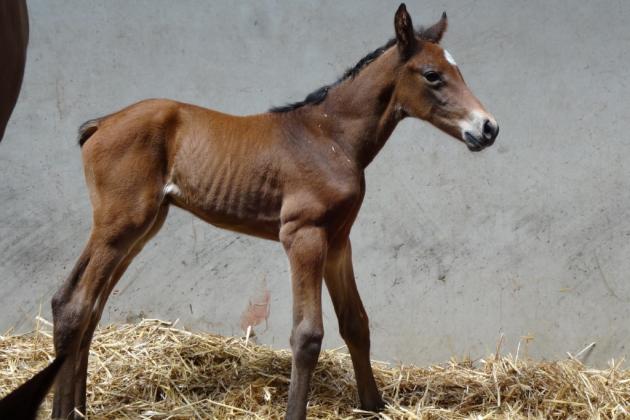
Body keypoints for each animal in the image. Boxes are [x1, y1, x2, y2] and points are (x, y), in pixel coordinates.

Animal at [51, 4, 498, 420]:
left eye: (457, 70)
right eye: (432, 75)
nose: (488, 128)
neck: (330, 137)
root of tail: (101, 124)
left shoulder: (339, 241)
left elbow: (356, 322)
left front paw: (373, 406)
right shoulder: (303, 235)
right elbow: (307, 335)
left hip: (140, 230)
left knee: (87, 308)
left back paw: (80, 409)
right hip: (119, 226)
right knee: (73, 304)